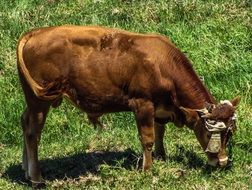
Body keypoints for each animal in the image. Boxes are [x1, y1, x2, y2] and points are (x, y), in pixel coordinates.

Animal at [16, 25, 239, 187]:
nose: (222, 161)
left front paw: (161, 157)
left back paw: (26, 171)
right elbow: (147, 138)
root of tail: (36, 32)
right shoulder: (142, 104)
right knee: (33, 133)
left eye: (229, 133)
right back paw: (36, 177)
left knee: (24, 122)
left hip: (32, 100)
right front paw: (147, 170)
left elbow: (160, 132)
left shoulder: (160, 108)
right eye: (210, 133)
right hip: (39, 102)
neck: (162, 65)